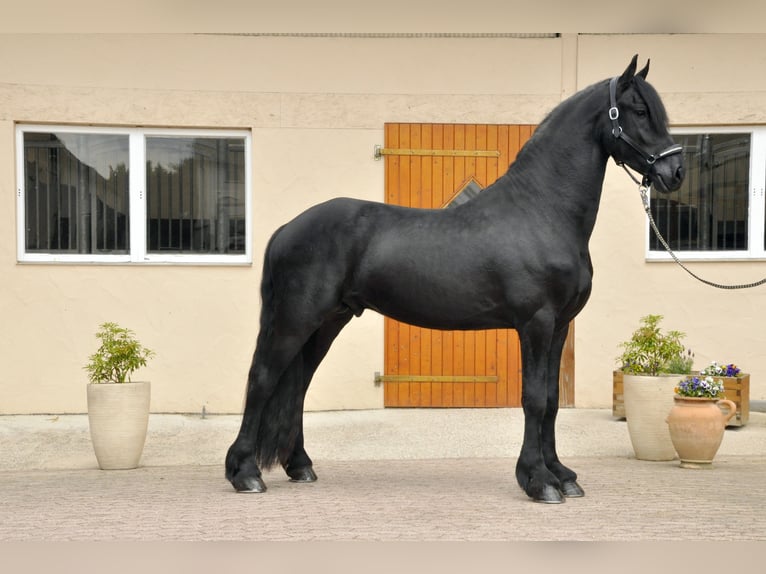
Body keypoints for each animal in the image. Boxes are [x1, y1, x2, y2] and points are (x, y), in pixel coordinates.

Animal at [225, 55, 684, 503]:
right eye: (639, 110)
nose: (675, 172)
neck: (541, 211)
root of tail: (288, 228)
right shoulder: (535, 323)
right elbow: (534, 399)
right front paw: (538, 481)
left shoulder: (559, 326)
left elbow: (552, 400)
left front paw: (562, 474)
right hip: (295, 319)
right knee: (262, 379)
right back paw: (245, 473)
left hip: (328, 321)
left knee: (298, 385)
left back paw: (300, 466)